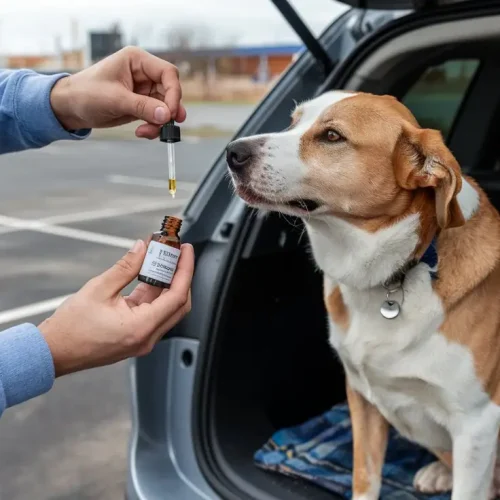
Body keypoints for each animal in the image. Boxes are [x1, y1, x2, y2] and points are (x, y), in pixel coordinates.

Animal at [228, 91, 500, 500]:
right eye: (293, 122)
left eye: (332, 136)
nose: (232, 152)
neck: (397, 270)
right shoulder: (363, 398)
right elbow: (364, 479)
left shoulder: (477, 423)